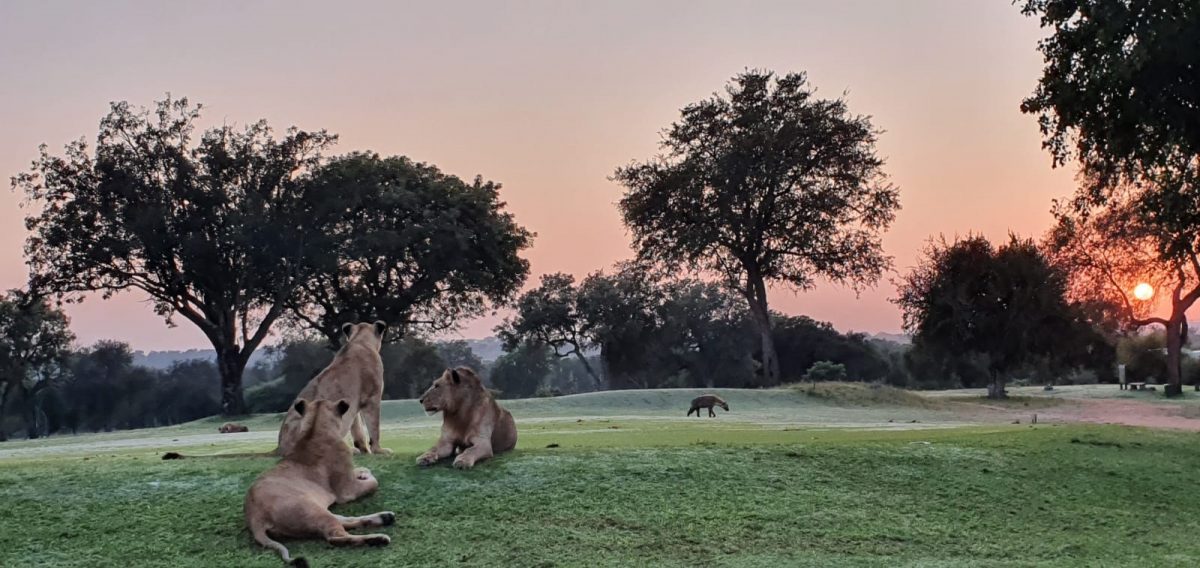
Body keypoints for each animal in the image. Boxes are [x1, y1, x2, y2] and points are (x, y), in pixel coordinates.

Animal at [246, 396, 396, 564]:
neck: (314, 430)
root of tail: (255, 519)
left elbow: (363, 469)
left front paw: (363, 473)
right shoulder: (347, 491)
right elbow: (374, 483)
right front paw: (367, 477)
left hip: (319, 511)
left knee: (345, 520)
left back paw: (384, 517)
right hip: (312, 511)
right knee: (336, 537)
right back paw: (376, 538)